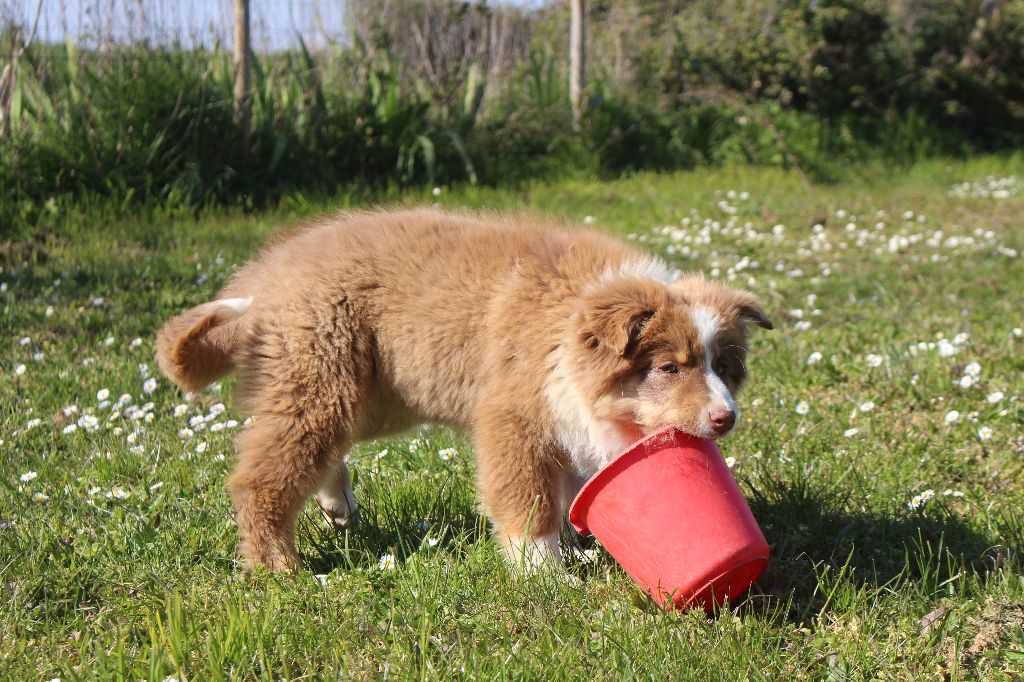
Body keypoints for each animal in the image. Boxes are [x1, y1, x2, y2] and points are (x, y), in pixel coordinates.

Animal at [155, 206, 770, 569]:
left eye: (725, 367)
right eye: (669, 368)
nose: (725, 418)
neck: (567, 331)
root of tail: (262, 282)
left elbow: (569, 488)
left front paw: (576, 545)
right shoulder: (513, 417)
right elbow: (526, 502)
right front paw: (543, 574)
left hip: (371, 392)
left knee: (317, 449)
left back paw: (336, 505)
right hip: (321, 374)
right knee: (260, 479)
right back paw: (279, 570)